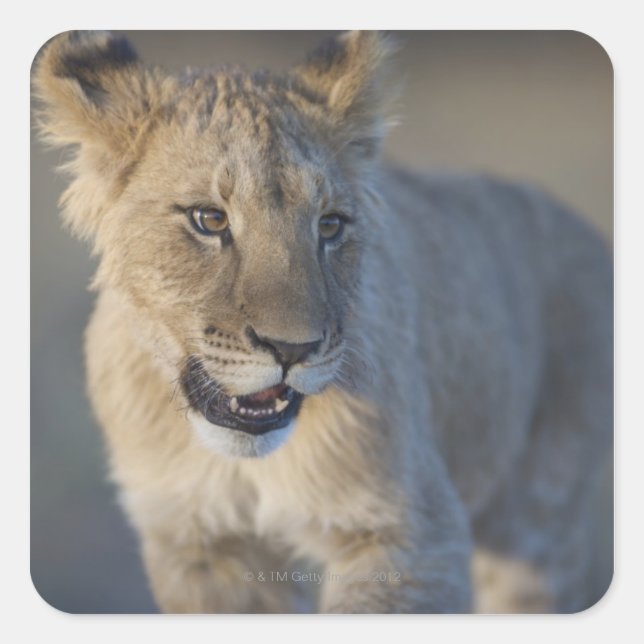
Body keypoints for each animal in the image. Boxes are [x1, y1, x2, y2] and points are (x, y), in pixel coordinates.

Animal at [32, 30, 613, 613]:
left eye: (330, 226)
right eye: (210, 219)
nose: (292, 350)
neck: (245, 465)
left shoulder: (414, 534)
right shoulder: (197, 545)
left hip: (540, 530)